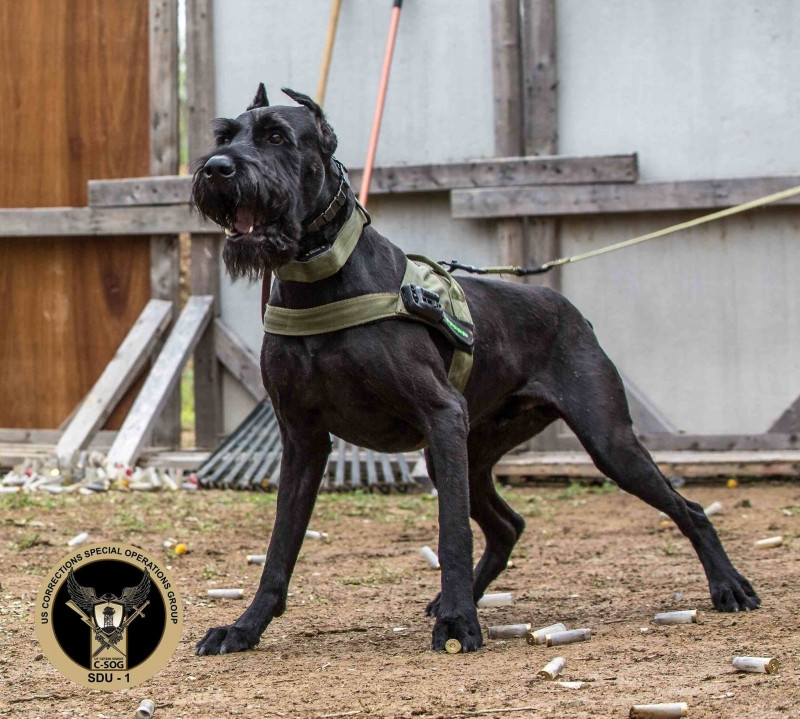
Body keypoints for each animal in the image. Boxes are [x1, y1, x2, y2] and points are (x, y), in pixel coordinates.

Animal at [191, 83, 760, 652]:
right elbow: (279, 547)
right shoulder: (302, 439)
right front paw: (244, 627)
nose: (217, 169)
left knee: (689, 510)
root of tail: (568, 308)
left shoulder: (441, 416)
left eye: (276, 136)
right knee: (508, 525)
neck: (321, 277)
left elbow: (453, 536)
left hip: (607, 443)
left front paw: (459, 623)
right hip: (470, 455)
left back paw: (729, 586)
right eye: (224, 136)